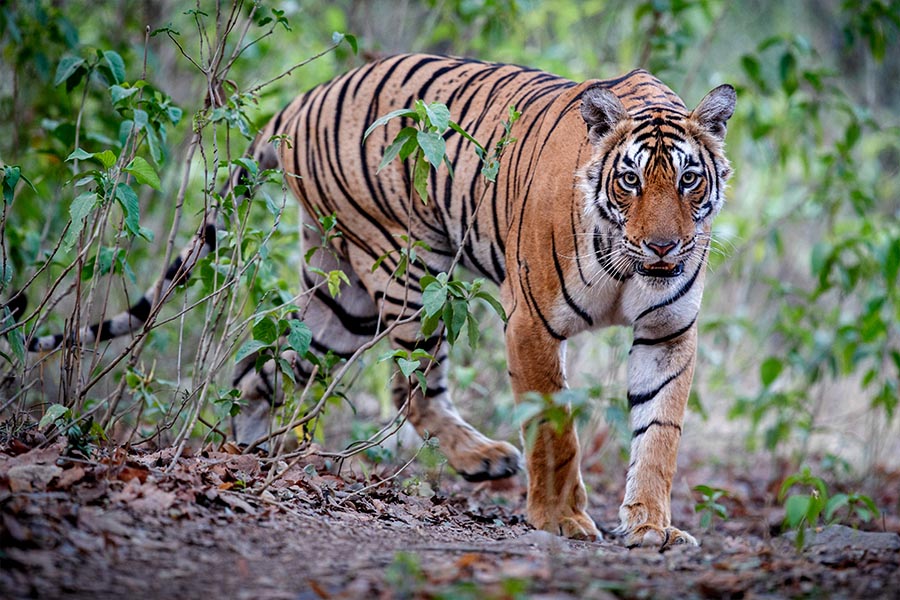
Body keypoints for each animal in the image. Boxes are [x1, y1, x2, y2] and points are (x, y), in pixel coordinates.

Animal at [18, 53, 735, 548]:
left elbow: (658, 435)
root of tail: (300, 101)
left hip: (342, 302)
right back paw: (483, 458)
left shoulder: (668, 332)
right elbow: (554, 429)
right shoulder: (531, 321)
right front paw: (561, 519)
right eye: (630, 179)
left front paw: (650, 528)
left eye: (689, 180)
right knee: (408, 387)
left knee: (261, 372)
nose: (665, 247)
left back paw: (247, 461)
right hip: (405, 269)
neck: (631, 267)